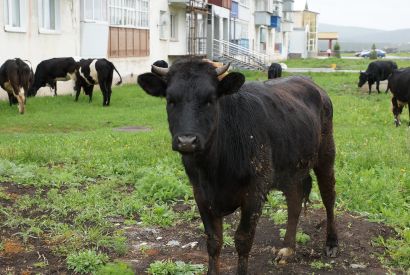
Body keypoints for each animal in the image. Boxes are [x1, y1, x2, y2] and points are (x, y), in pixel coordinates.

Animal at [139, 59, 338, 274]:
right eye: (170, 100)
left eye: (210, 99)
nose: (187, 141)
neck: (213, 170)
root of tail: (311, 83)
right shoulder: (200, 193)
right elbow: (214, 240)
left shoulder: (255, 192)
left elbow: (243, 240)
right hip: (290, 169)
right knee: (294, 202)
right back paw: (287, 249)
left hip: (326, 156)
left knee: (328, 197)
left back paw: (332, 243)